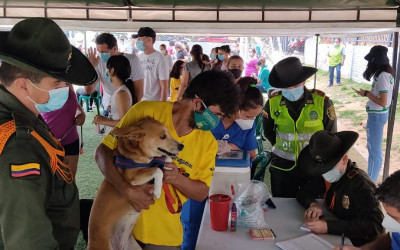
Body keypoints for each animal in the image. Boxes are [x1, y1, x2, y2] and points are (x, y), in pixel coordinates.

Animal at [88, 117, 184, 250]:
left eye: (168, 133)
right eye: (163, 136)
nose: (181, 146)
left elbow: (164, 161)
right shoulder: (132, 176)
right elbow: (157, 170)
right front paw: (157, 190)